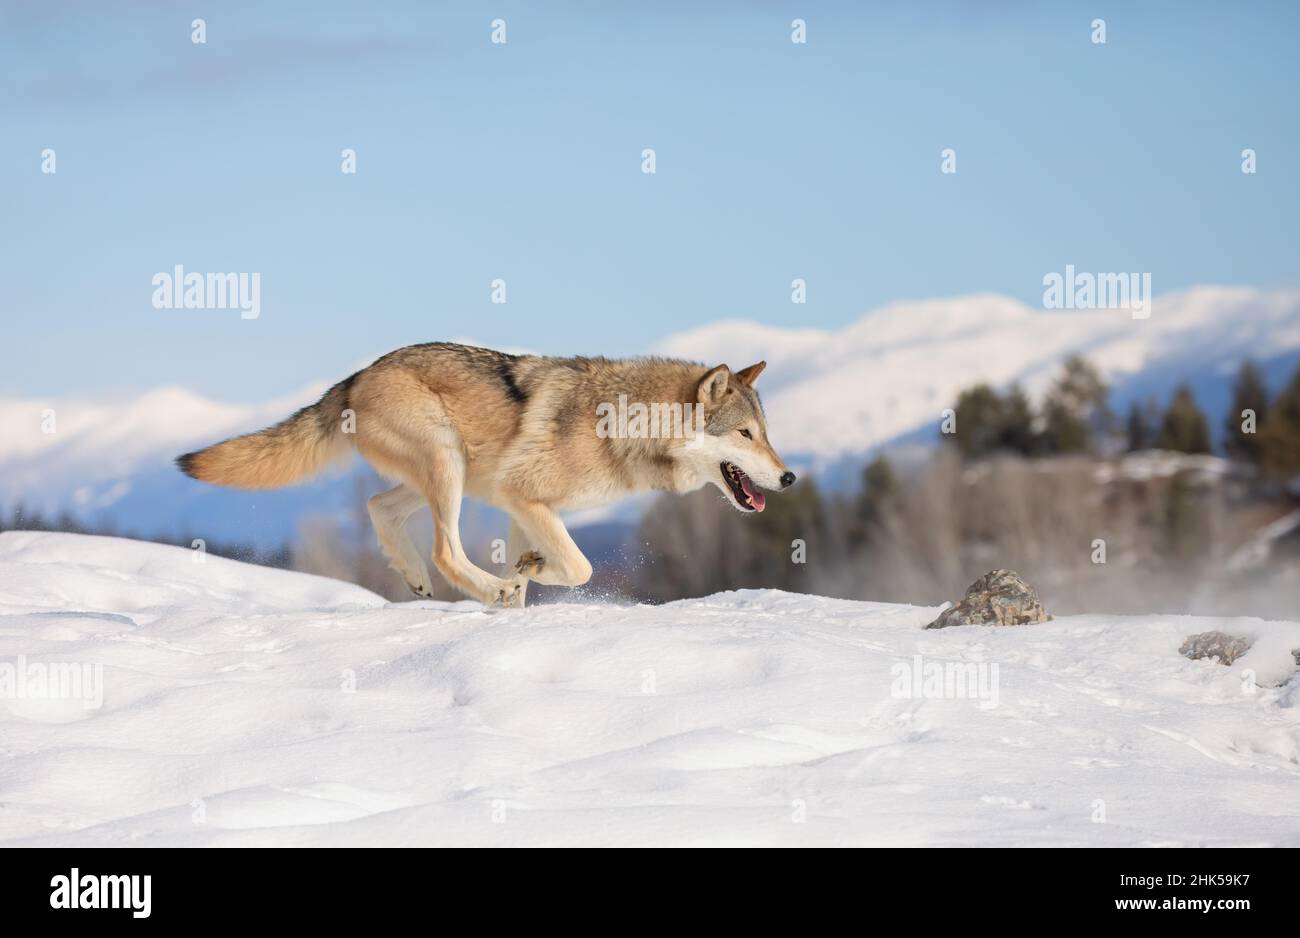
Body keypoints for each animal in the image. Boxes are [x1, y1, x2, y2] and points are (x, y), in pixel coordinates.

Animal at [177, 343, 795, 607]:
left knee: (379, 508)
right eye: (746, 435)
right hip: (446, 466)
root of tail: (355, 375)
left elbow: (540, 574)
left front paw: (515, 600)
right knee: (446, 551)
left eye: (766, 432)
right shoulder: (521, 496)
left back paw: (415, 577)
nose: (789, 478)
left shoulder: (528, 509)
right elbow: (580, 567)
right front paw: (520, 580)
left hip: (440, 476)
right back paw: (477, 584)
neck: (623, 423)